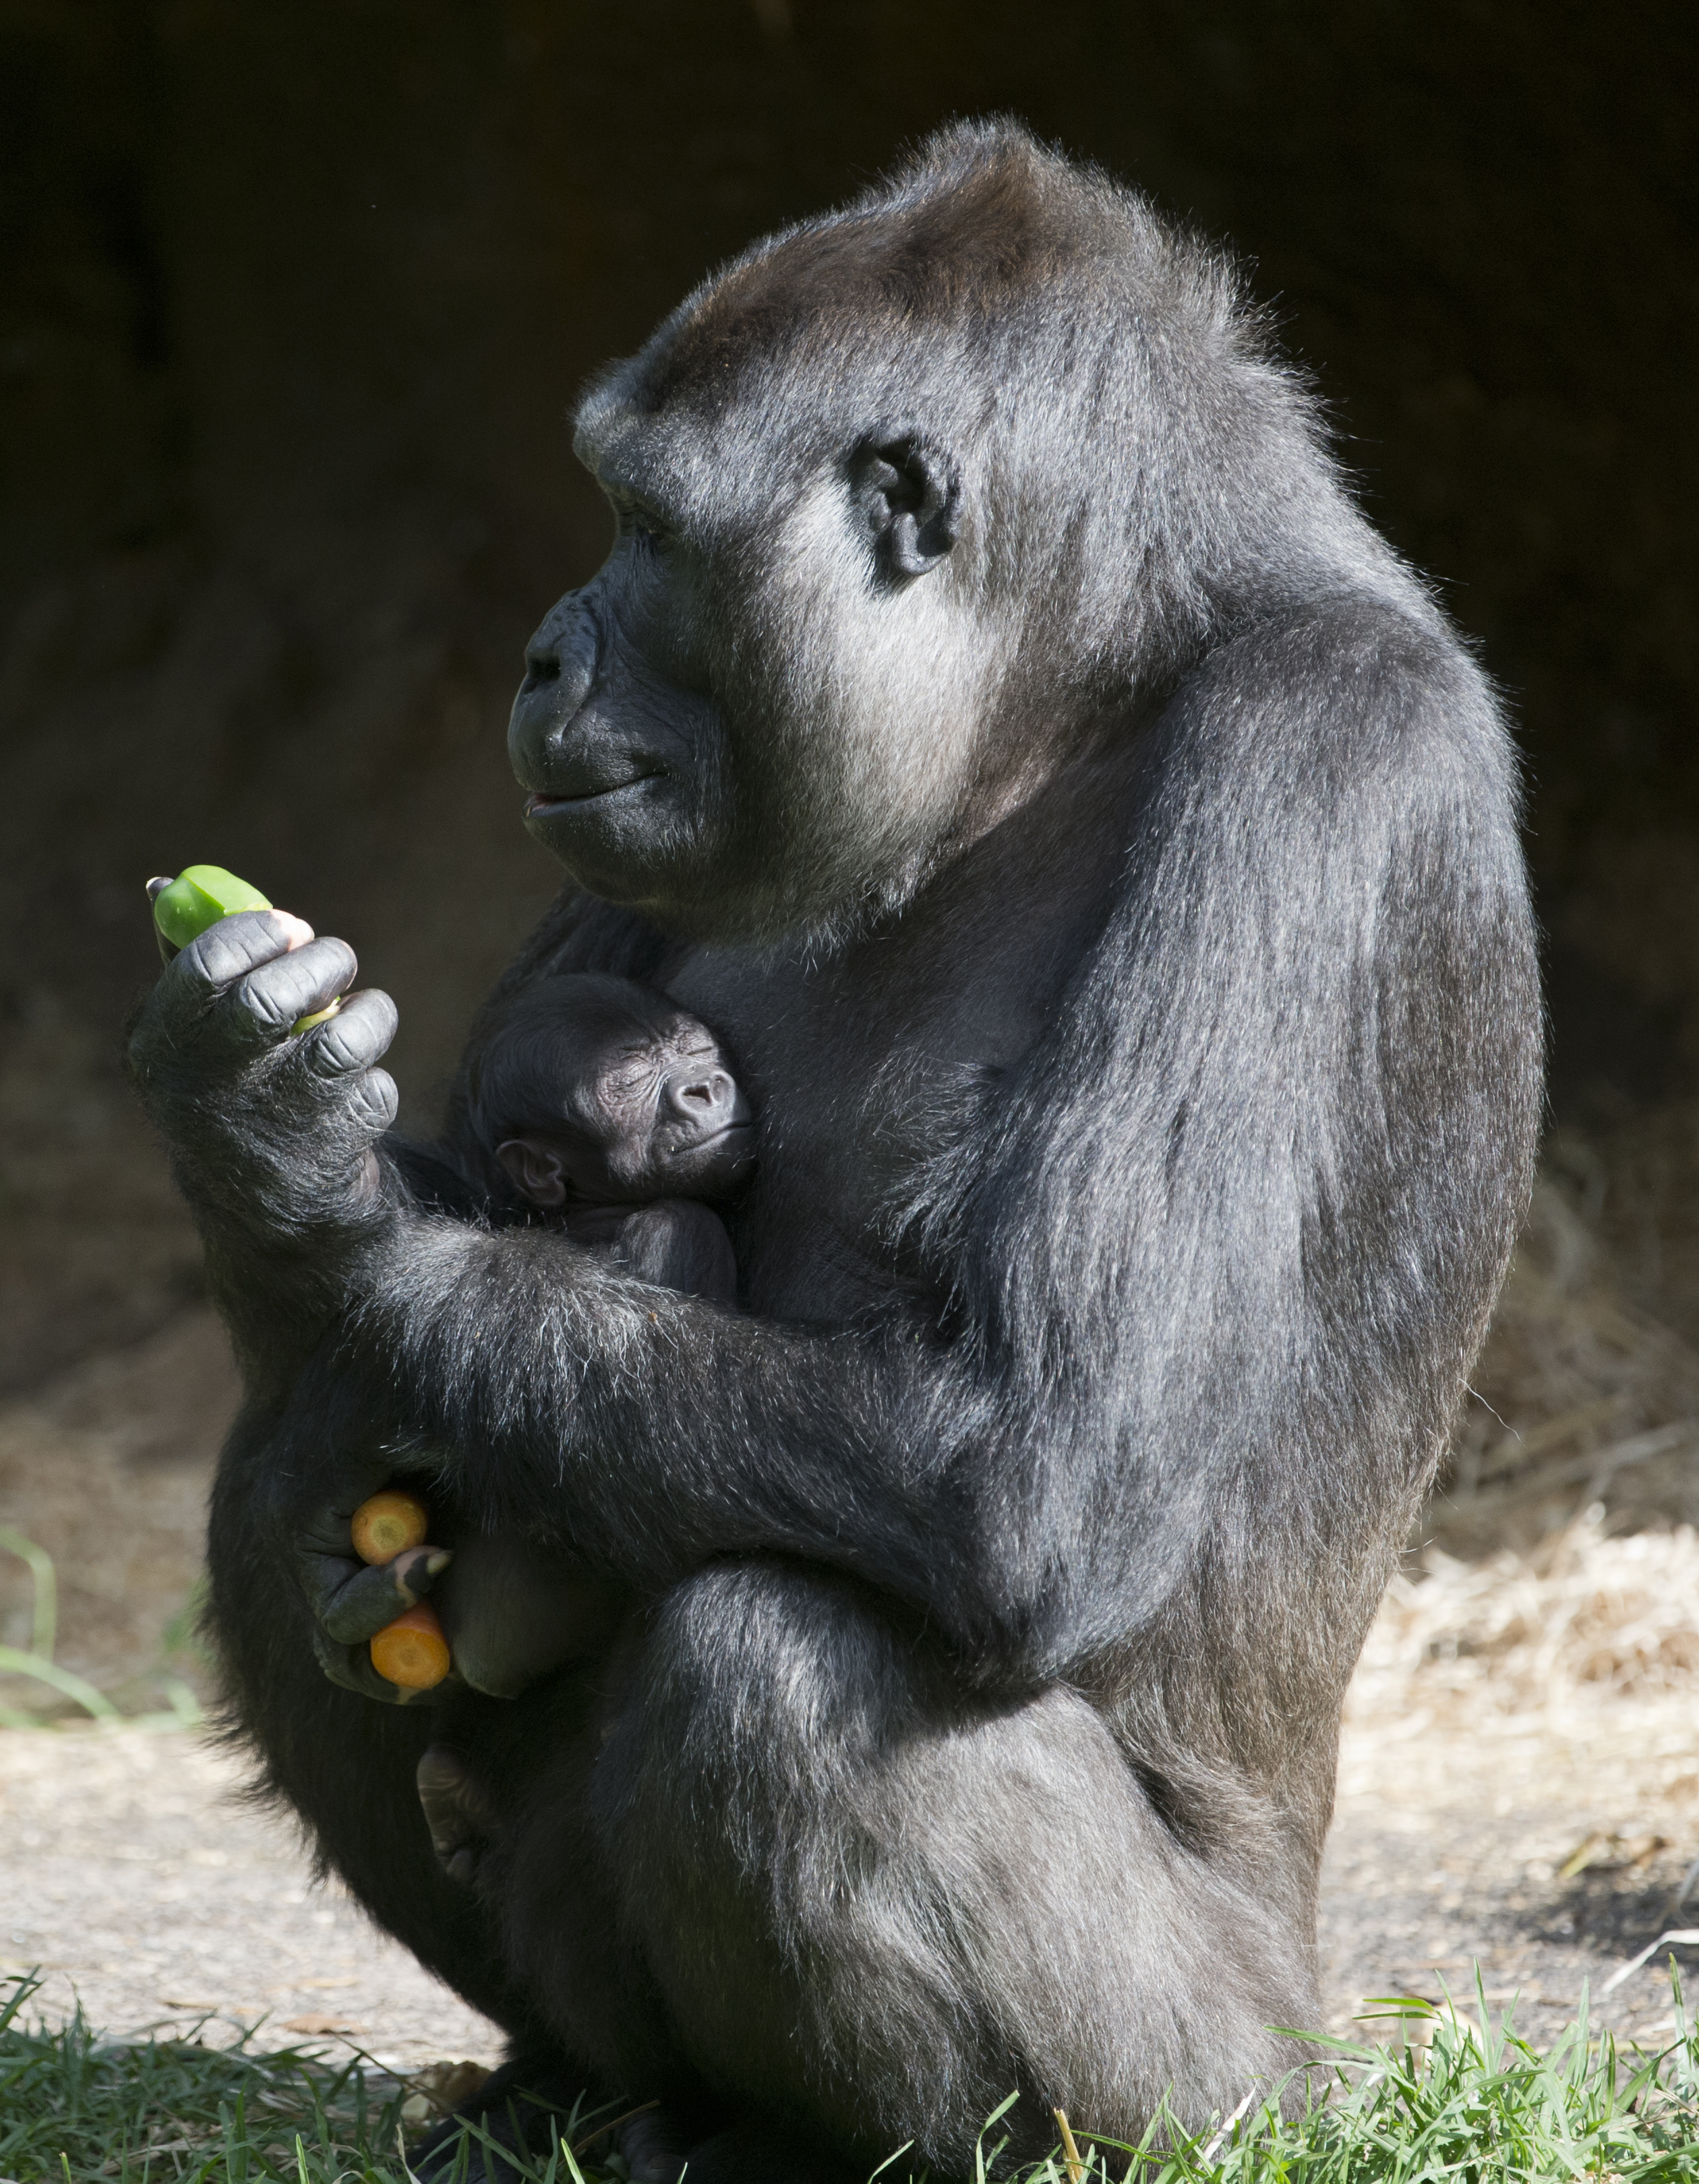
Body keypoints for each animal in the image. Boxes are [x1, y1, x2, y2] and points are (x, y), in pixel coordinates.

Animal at [128, 121, 1542, 2182]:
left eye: (643, 521)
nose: (544, 653)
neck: (1067, 694)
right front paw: (241, 1110)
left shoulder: (1322, 759)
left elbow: (1037, 1466)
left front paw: (325, 1197)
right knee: (289, 1470)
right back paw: (571, 2084)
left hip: (1241, 2082)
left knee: (777, 1659)